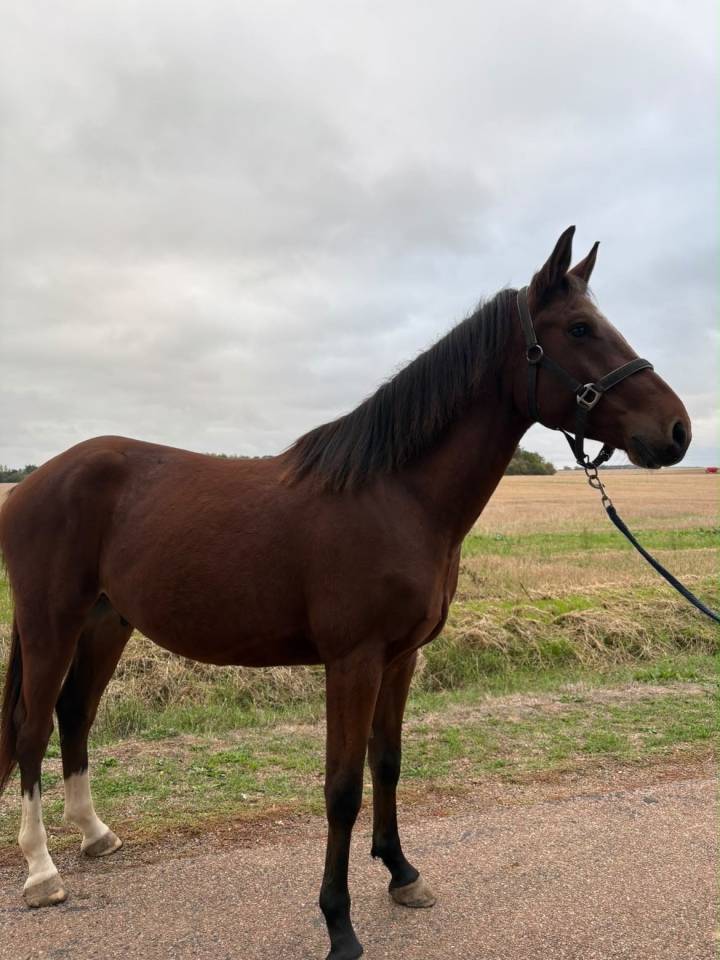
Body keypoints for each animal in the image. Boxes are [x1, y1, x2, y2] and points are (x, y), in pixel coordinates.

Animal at [0, 227, 690, 960]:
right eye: (580, 328)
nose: (677, 430)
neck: (397, 495)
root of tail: (32, 482)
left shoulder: (401, 656)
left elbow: (386, 764)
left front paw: (402, 873)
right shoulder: (352, 661)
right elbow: (342, 789)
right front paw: (339, 922)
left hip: (108, 622)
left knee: (75, 715)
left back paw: (95, 835)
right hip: (51, 624)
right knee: (33, 728)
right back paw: (42, 871)